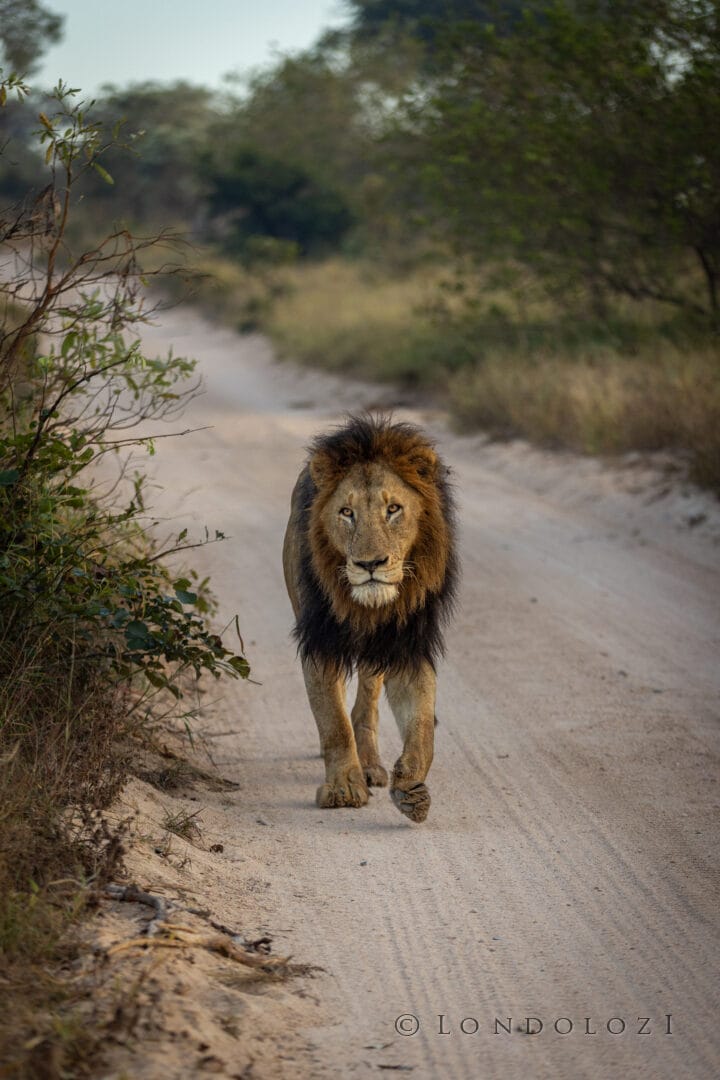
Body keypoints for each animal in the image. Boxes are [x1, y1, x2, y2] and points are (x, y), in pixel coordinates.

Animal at [282, 414, 458, 823]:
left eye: (393, 509)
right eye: (347, 513)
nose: (370, 564)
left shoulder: (407, 644)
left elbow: (423, 724)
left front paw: (410, 786)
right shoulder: (321, 641)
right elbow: (333, 721)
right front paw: (344, 788)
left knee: (367, 704)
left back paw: (372, 765)